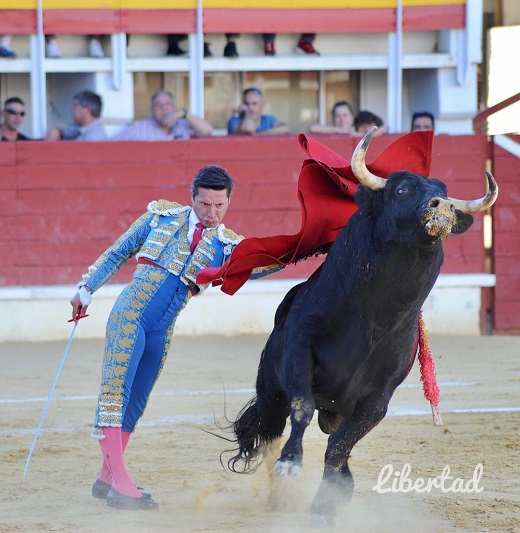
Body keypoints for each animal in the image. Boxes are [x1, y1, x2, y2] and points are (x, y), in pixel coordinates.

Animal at [225, 128, 498, 524]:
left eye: (443, 190)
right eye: (401, 189)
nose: (442, 206)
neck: (372, 316)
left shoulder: (378, 398)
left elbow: (339, 449)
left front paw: (324, 506)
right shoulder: (298, 352)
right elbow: (302, 408)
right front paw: (291, 465)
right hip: (270, 389)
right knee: (270, 431)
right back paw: (279, 496)